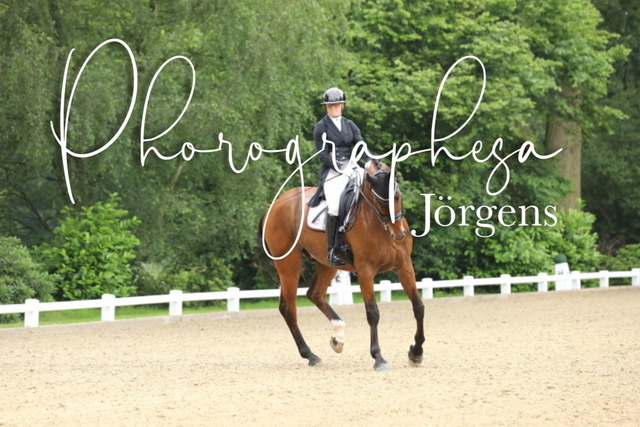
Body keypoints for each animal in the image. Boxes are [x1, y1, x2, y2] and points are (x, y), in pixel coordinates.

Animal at [261, 161, 425, 371]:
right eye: (378, 200)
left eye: (397, 196)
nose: (398, 233)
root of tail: (274, 206)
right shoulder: (365, 271)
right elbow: (372, 313)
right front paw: (378, 357)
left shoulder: (404, 266)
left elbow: (418, 306)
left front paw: (416, 353)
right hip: (289, 264)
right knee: (288, 308)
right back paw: (310, 355)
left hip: (327, 264)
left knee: (315, 294)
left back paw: (337, 338)